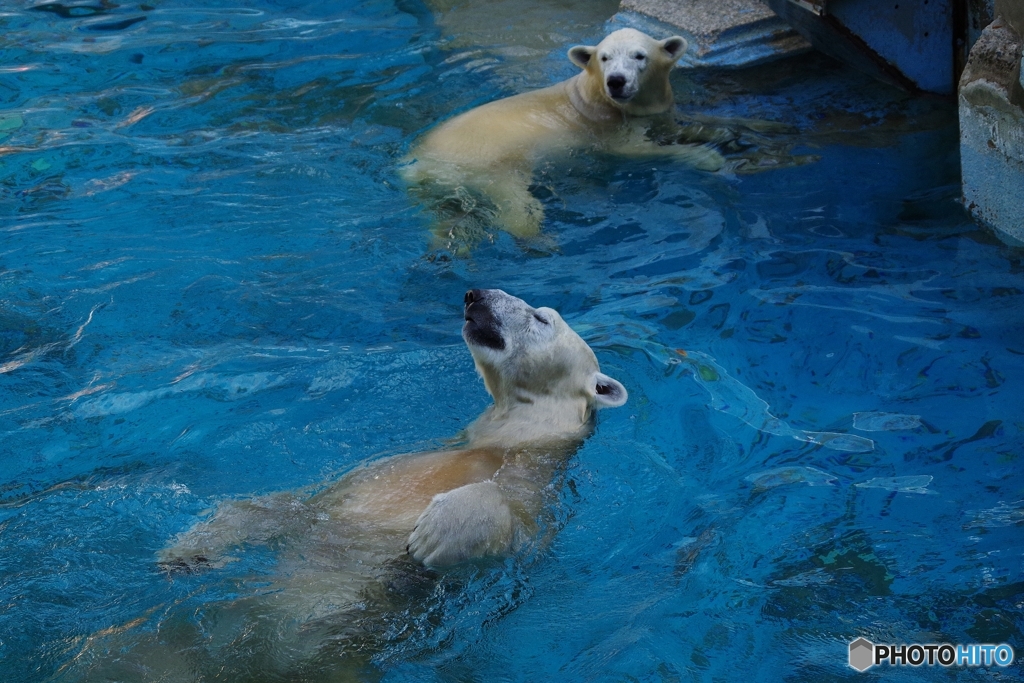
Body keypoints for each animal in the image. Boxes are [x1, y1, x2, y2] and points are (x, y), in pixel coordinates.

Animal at [68, 290, 626, 683]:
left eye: (541, 318)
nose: (475, 295)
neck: (507, 440)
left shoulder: (535, 491)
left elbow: (510, 528)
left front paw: (431, 535)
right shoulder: (365, 477)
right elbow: (290, 507)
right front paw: (187, 554)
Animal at [403, 28, 724, 244]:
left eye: (639, 55)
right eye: (604, 57)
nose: (616, 81)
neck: (596, 96)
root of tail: (418, 164)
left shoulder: (650, 112)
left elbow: (674, 125)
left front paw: (716, 131)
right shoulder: (606, 127)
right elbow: (638, 150)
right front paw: (709, 157)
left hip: (440, 187)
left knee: (447, 214)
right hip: (492, 167)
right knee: (519, 209)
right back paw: (540, 241)